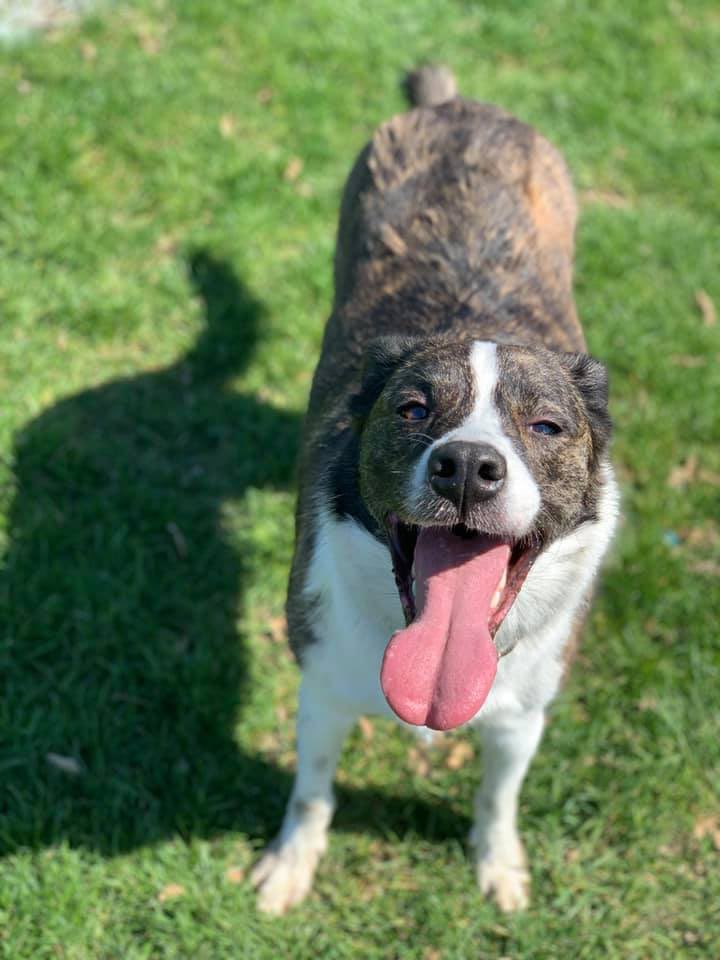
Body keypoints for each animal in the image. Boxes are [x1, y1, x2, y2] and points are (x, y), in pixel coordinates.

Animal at [251, 66, 619, 915]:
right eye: (414, 410)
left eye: (546, 426)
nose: (468, 466)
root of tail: (455, 104)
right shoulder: (322, 685)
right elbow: (311, 791)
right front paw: (291, 864)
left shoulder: (521, 713)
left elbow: (498, 795)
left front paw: (498, 864)